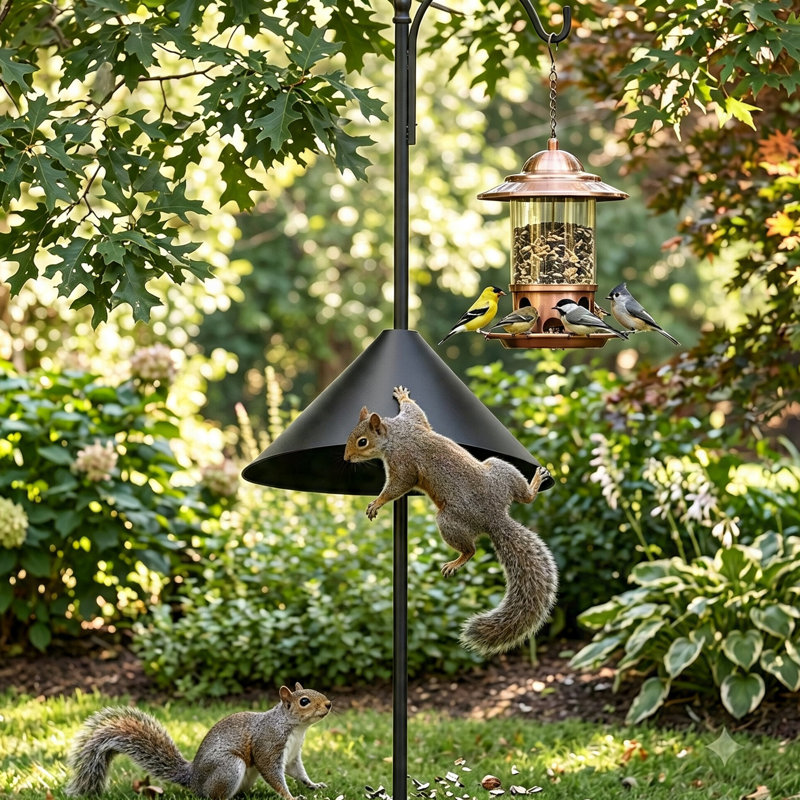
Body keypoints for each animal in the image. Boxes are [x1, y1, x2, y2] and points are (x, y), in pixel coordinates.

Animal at [65, 683, 331, 800]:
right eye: (304, 701)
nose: (329, 704)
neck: (295, 728)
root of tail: (193, 779)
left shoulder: (293, 755)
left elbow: (297, 772)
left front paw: (313, 785)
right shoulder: (268, 745)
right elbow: (273, 774)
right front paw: (290, 797)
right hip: (229, 767)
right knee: (214, 797)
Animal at [343, 385, 558, 656]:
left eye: (362, 441)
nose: (346, 458)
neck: (396, 435)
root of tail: (495, 517)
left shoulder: (403, 463)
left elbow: (398, 486)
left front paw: (377, 503)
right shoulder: (413, 421)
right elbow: (416, 410)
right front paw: (403, 396)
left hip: (447, 520)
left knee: (471, 550)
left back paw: (456, 561)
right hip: (499, 469)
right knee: (526, 498)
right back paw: (534, 485)